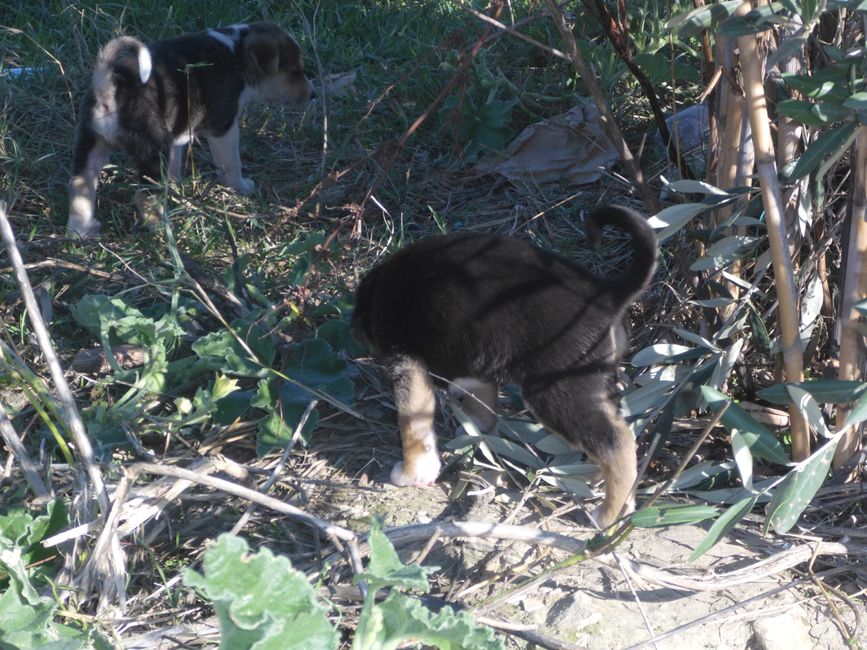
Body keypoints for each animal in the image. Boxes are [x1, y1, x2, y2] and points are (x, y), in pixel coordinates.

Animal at [68, 22, 312, 238]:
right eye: (296, 71)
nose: (313, 94)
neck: (237, 53)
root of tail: (108, 87)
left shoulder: (177, 137)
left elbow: (175, 169)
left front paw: (176, 192)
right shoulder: (223, 128)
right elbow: (231, 164)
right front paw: (241, 187)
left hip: (92, 145)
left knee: (80, 189)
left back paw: (82, 232)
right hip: (153, 153)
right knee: (144, 196)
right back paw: (162, 229)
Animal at [352, 205, 656, 524]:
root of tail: (606, 291)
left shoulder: (406, 363)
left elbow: (413, 426)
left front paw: (411, 472)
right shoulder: (475, 363)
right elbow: (482, 406)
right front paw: (474, 433)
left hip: (557, 393)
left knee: (617, 444)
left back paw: (609, 514)